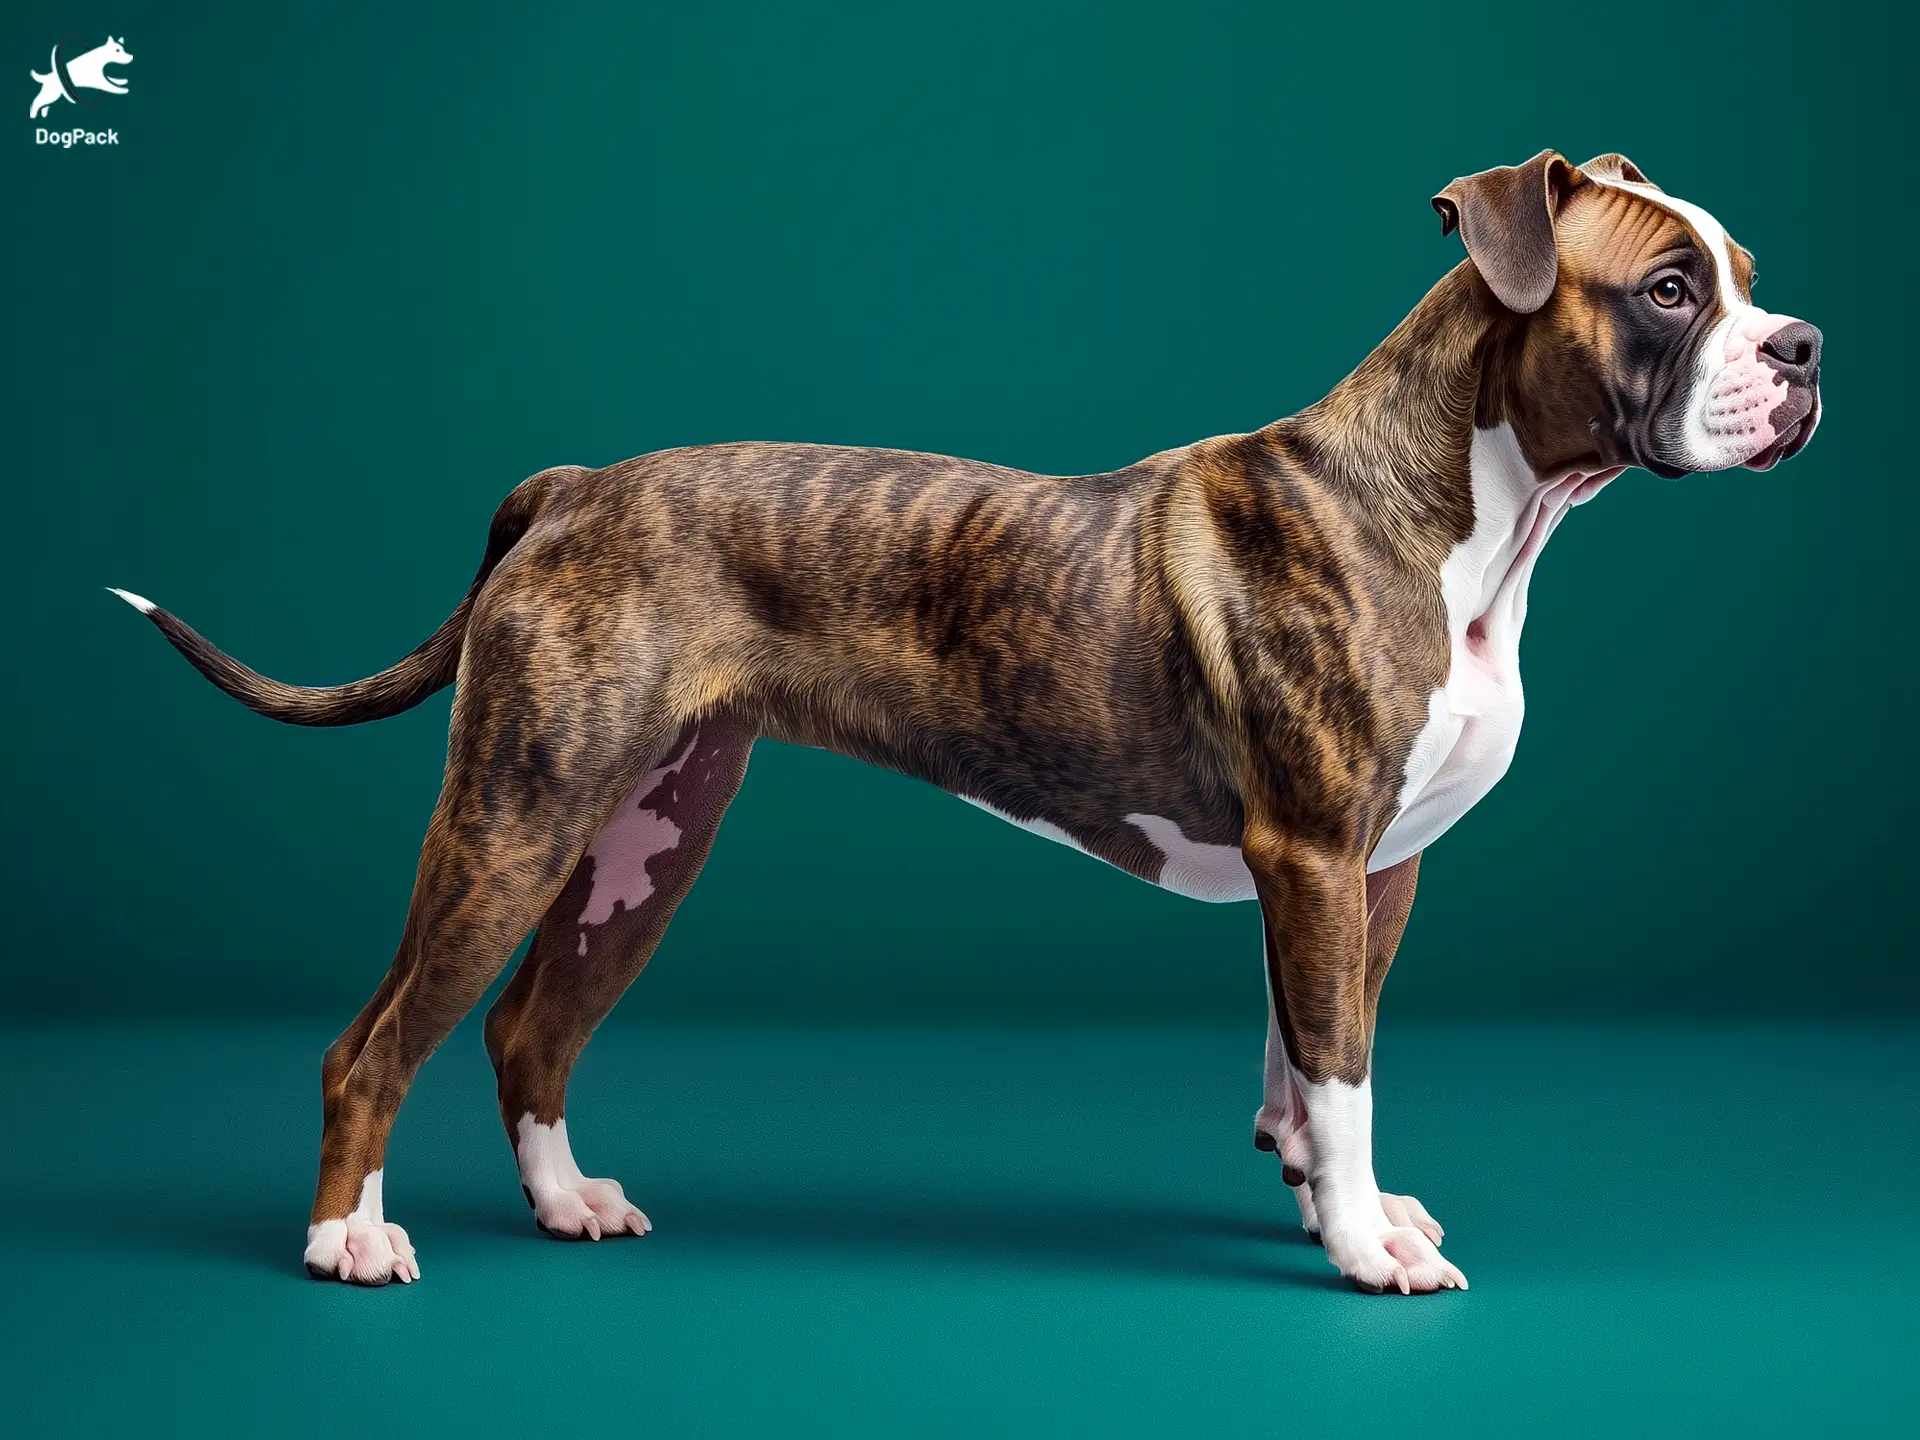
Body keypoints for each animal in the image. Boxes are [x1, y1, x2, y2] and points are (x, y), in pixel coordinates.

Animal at [112, 152, 1820, 1290]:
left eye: (1745, 273)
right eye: (1670, 291)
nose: (1804, 349)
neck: (1467, 507)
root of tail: (575, 486)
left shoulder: (1368, 877)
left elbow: (1309, 1062)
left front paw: (1341, 1205)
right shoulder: (1321, 860)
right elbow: (1343, 1073)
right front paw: (1360, 1248)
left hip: (643, 835)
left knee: (533, 1027)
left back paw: (569, 1204)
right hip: (514, 817)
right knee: (373, 1044)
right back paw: (347, 1239)